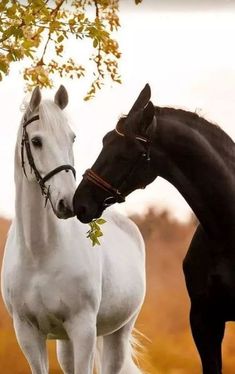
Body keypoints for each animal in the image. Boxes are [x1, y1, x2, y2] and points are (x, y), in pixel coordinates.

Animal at [0, 86, 146, 374]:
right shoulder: (27, 333)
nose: (68, 202)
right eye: (36, 141)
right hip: (65, 341)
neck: (39, 253)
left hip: (118, 333)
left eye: (72, 138)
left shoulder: (83, 329)